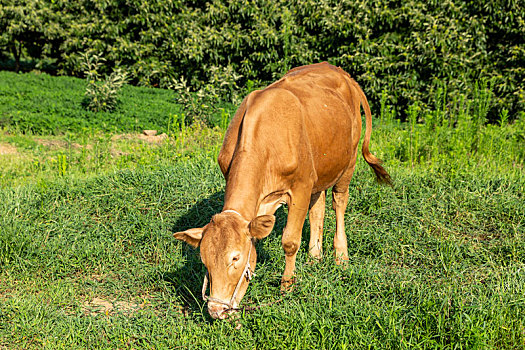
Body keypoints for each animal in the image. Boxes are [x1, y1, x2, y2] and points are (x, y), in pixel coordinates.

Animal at [175, 62, 388, 320]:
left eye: (235, 257)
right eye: (205, 261)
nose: (216, 310)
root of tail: (339, 72)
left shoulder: (301, 187)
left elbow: (290, 241)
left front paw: (287, 286)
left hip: (348, 162)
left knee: (339, 202)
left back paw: (341, 257)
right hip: (320, 171)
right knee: (318, 208)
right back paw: (315, 257)